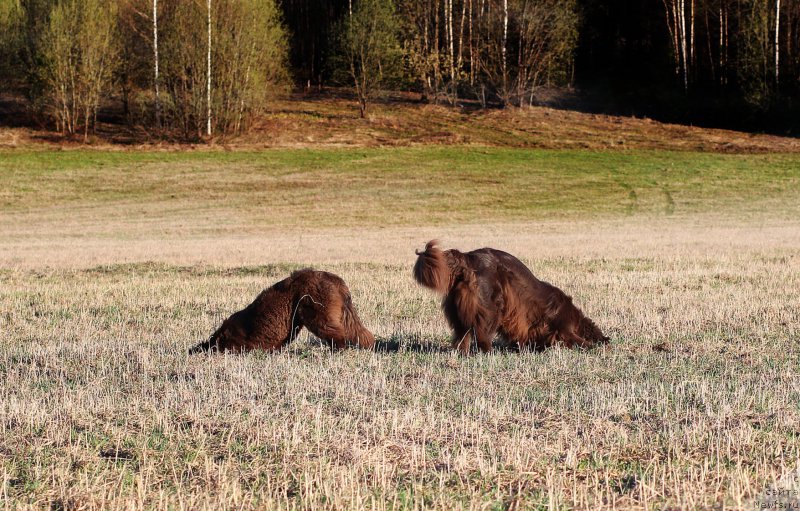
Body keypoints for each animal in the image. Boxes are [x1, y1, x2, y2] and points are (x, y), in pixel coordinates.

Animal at [416, 241, 608, 354]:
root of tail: (468, 258)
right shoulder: (563, 329)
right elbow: (577, 340)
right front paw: (595, 346)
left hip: (459, 310)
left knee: (462, 334)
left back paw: (462, 353)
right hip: (491, 307)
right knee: (482, 334)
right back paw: (488, 353)